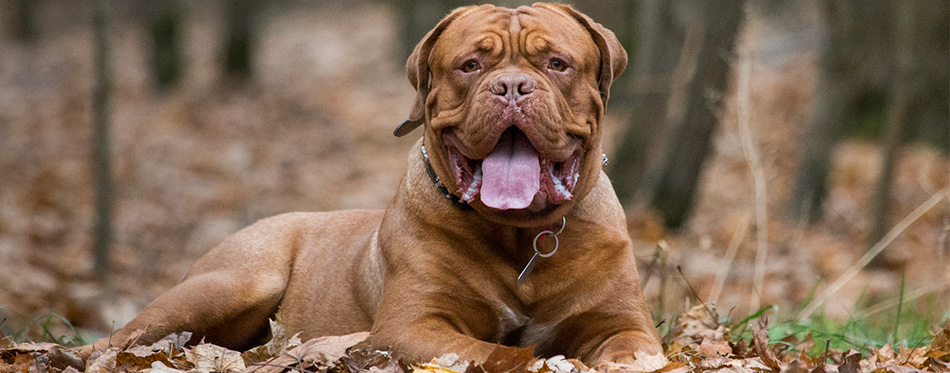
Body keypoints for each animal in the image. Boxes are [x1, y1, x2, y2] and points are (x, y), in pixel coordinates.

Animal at [85, 2, 664, 368]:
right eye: (471, 65)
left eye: (557, 63)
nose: (512, 86)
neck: (522, 238)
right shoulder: (414, 326)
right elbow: (500, 351)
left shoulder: (624, 323)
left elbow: (636, 351)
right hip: (235, 281)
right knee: (119, 338)